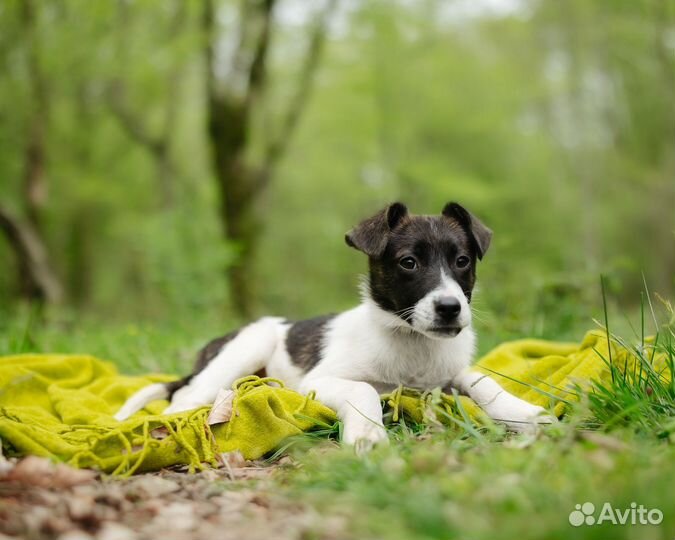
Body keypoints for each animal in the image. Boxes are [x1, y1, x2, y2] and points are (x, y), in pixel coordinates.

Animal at [115, 202, 548, 448]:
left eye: (462, 261)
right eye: (408, 262)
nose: (449, 308)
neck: (411, 342)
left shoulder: (449, 372)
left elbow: (483, 380)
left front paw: (525, 414)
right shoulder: (320, 380)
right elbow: (363, 389)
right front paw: (368, 432)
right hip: (244, 349)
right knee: (184, 398)